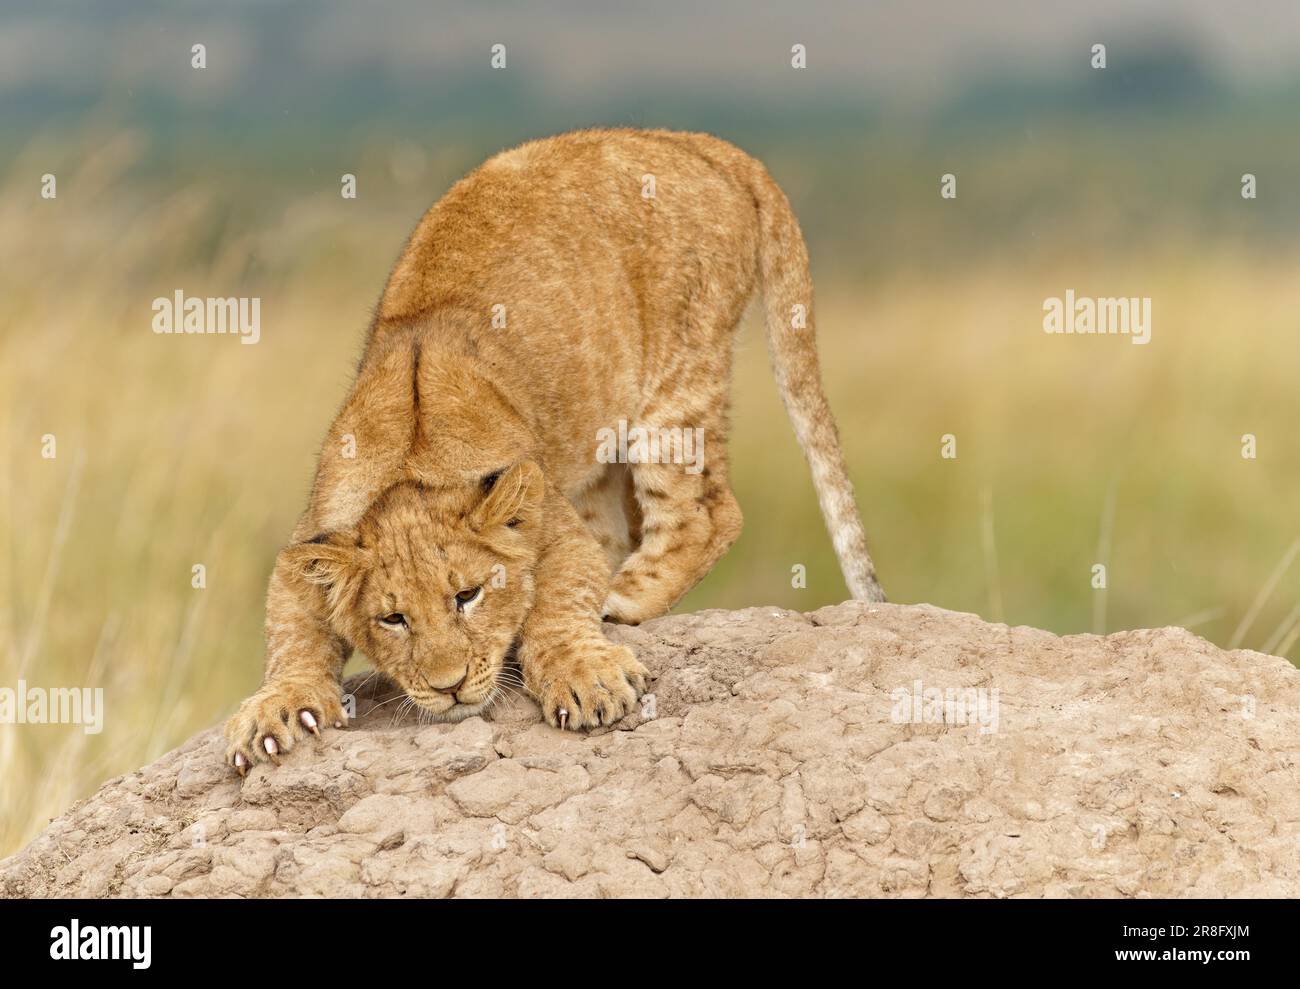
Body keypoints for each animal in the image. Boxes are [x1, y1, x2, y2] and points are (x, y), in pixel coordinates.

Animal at [224, 128, 884, 772]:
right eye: (394, 618)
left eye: (468, 595)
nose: (449, 686)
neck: (410, 471)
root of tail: (699, 142)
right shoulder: (308, 542)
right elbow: (290, 638)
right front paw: (273, 709)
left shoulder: (554, 528)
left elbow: (558, 601)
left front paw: (585, 675)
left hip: (679, 381)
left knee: (709, 515)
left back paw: (620, 600)